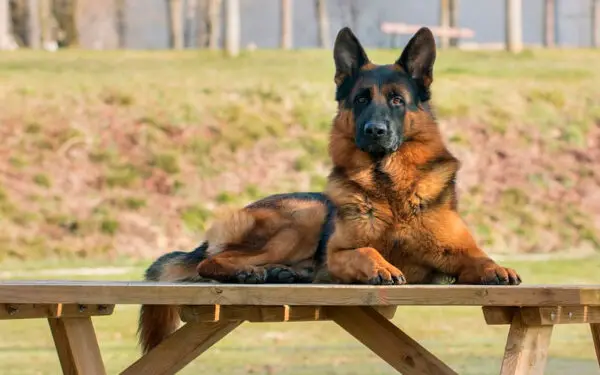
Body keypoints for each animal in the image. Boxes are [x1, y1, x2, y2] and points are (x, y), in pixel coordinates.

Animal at [138, 26, 524, 356]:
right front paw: (381, 267)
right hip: (303, 219)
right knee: (211, 261)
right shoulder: (339, 254)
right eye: (361, 99)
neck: (389, 188)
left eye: (397, 100)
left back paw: (283, 273)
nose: (375, 131)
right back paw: (250, 272)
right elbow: (366, 250)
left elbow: (479, 257)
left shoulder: (458, 251)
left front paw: (498, 268)